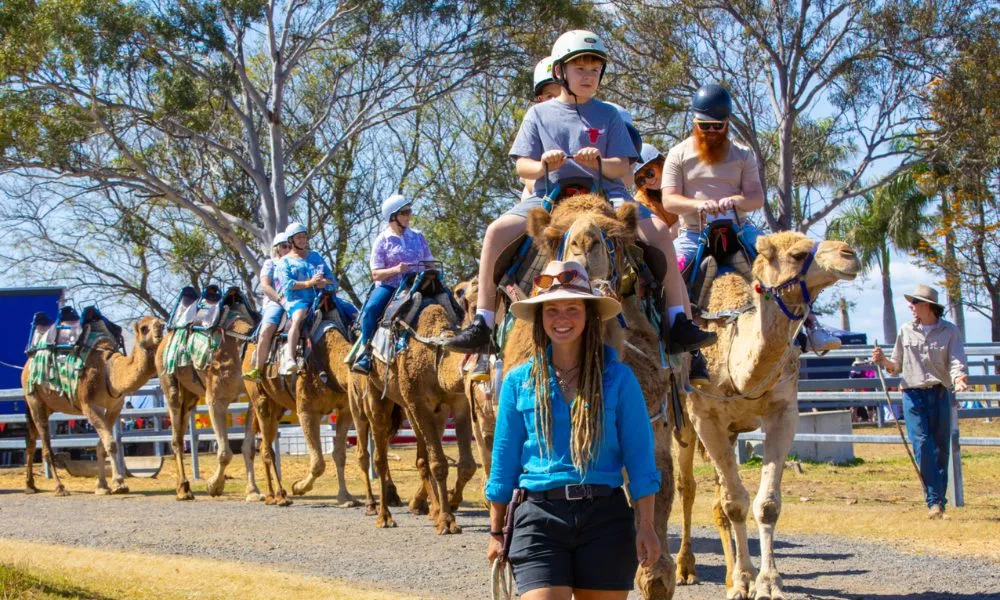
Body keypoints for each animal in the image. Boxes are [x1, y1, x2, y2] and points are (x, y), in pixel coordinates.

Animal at [22, 316, 165, 496]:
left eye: (161, 324)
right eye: (144, 328)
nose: (160, 328)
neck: (109, 373)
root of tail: (27, 365)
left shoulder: (114, 407)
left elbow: (102, 445)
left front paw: (102, 486)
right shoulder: (89, 406)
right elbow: (111, 444)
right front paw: (119, 484)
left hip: (45, 405)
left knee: (31, 441)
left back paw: (30, 485)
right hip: (34, 399)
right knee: (46, 448)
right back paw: (59, 487)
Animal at [155, 291, 261, 501]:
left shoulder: (251, 400)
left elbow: (249, 448)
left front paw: (253, 491)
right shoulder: (215, 399)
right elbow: (225, 452)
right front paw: (214, 486)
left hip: (190, 395)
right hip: (168, 380)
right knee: (176, 437)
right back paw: (183, 489)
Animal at [242, 296, 359, 507]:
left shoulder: (345, 409)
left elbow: (339, 454)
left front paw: (345, 498)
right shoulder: (307, 409)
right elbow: (318, 462)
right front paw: (298, 487)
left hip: (277, 405)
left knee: (263, 444)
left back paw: (274, 494)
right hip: (259, 398)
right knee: (266, 447)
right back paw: (278, 496)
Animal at [349, 284, 477, 533]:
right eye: (471, 300)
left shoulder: (458, 404)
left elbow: (467, 465)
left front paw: (448, 505)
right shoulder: (419, 403)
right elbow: (438, 463)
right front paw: (447, 521)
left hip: (412, 408)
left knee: (420, 457)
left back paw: (428, 509)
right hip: (373, 397)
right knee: (378, 457)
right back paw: (384, 515)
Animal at [673, 231, 860, 599]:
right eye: (798, 253)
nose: (849, 253)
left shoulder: (783, 413)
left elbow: (765, 504)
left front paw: (767, 582)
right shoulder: (704, 417)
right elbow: (734, 503)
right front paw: (744, 581)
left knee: (717, 495)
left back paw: (727, 573)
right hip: (682, 422)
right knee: (685, 486)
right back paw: (684, 568)